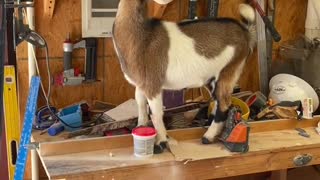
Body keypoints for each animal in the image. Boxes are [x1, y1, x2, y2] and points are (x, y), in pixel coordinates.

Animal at [112, 0, 258, 153]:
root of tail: (246, 32)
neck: (143, 37)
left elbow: (156, 113)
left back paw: (208, 137)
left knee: (224, 103)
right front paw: (141, 128)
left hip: (229, 71)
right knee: (218, 100)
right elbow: (141, 106)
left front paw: (160, 143)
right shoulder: (141, 84)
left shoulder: (153, 84)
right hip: (212, 78)